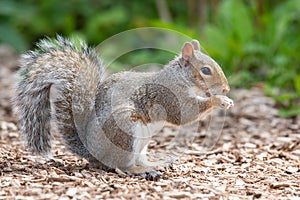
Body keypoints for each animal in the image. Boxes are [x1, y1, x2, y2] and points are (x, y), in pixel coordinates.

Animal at [14, 35, 234, 180]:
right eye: (205, 70)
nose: (227, 88)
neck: (181, 77)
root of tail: (91, 152)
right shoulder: (170, 95)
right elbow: (185, 114)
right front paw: (220, 100)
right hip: (125, 131)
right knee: (121, 167)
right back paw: (139, 170)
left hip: (141, 144)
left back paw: (150, 164)